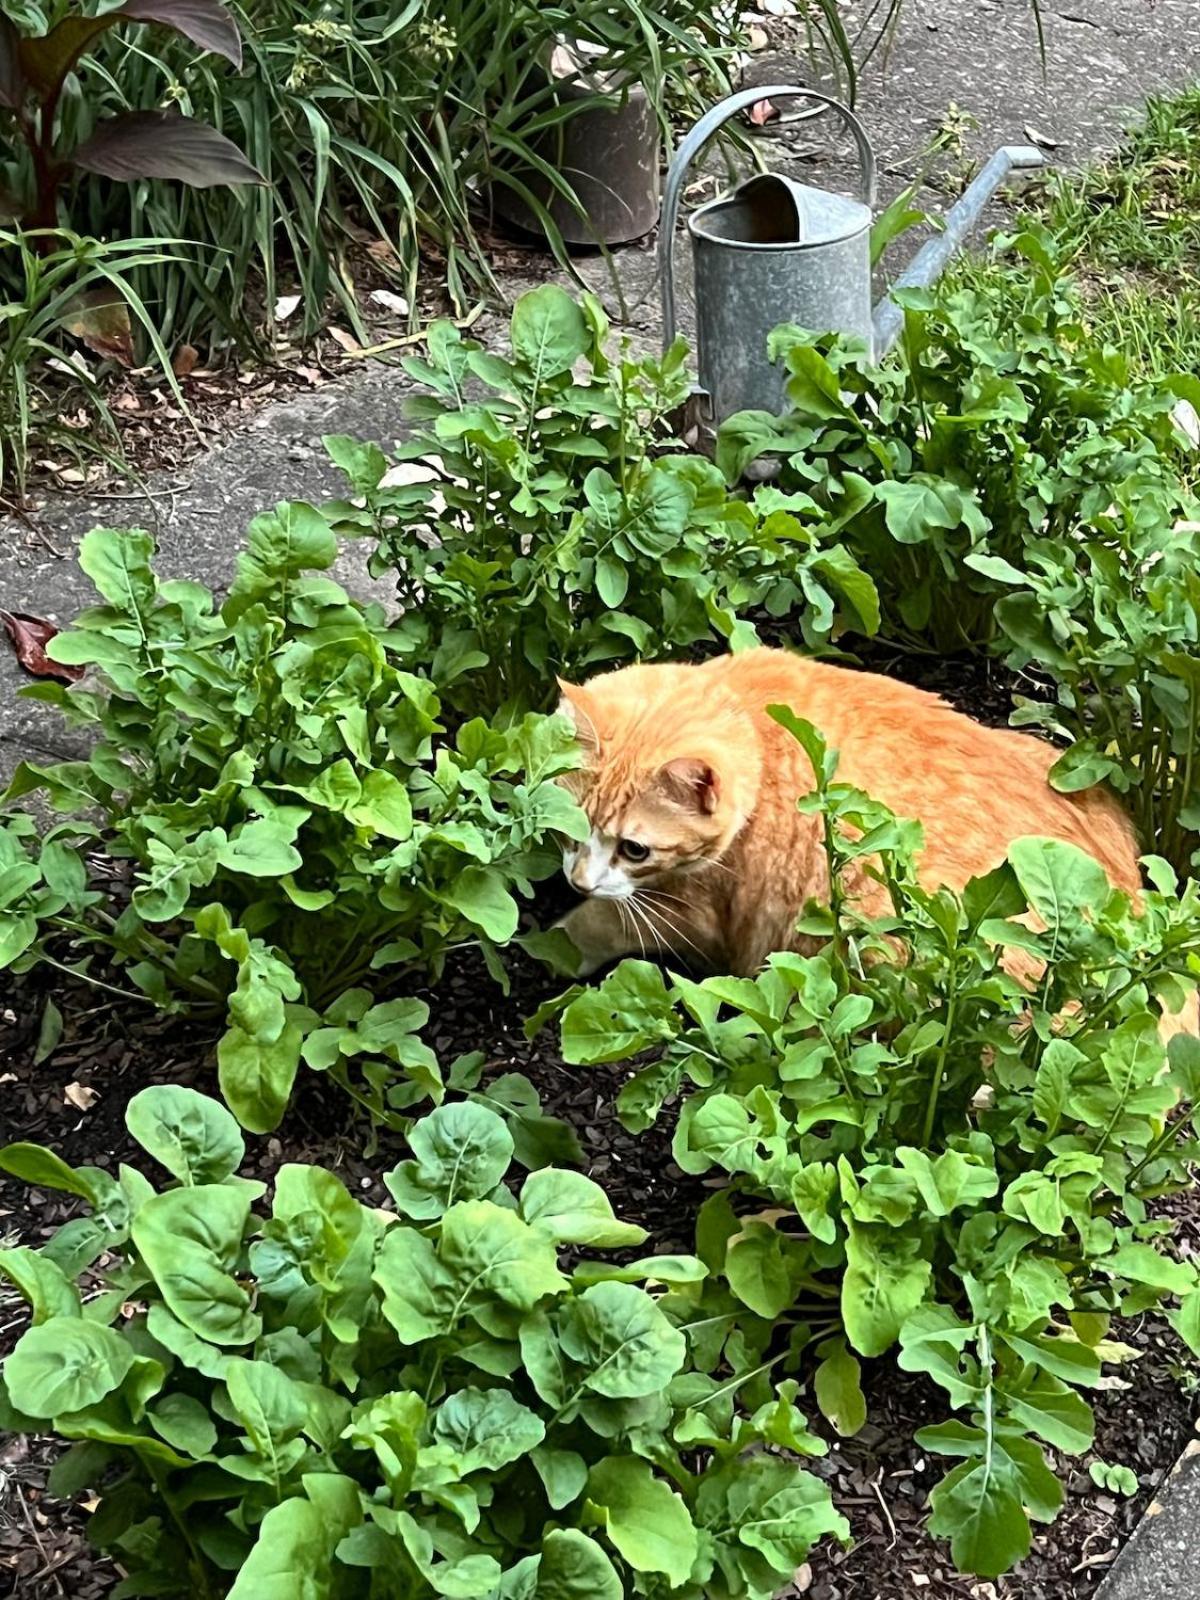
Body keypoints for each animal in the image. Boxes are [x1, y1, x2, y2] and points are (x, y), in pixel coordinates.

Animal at [553, 646, 1145, 972]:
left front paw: (554, 943)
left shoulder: (697, 915)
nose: (578, 881)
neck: (752, 719)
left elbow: (605, 923)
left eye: (635, 849)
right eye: (569, 829)